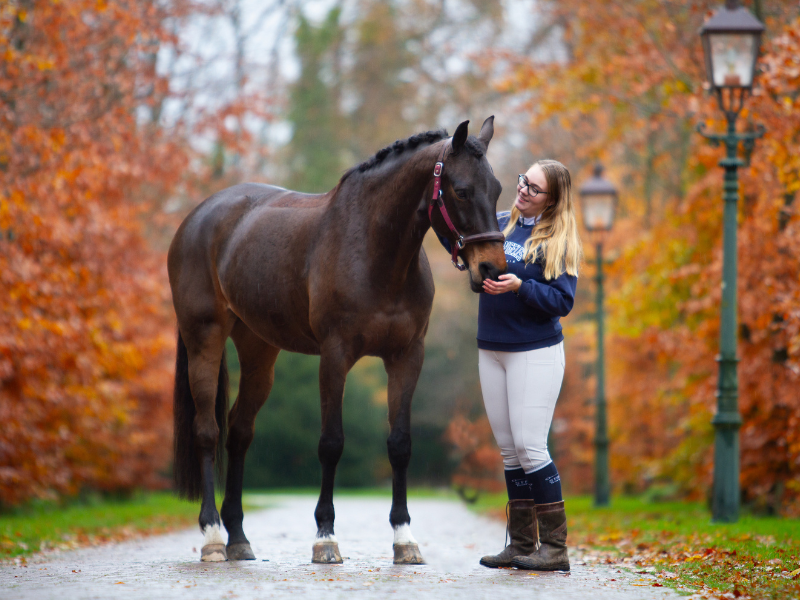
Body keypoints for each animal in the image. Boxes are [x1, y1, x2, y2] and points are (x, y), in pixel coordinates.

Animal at [168, 117, 507, 565]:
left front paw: (404, 538)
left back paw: (238, 537)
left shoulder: (406, 357)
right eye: (462, 190)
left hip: (259, 351)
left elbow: (400, 444)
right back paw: (211, 537)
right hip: (203, 338)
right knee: (207, 430)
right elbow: (331, 443)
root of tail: (195, 218)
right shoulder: (334, 356)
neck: (376, 252)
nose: (491, 269)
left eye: (498, 189)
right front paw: (325, 537)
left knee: (239, 431)